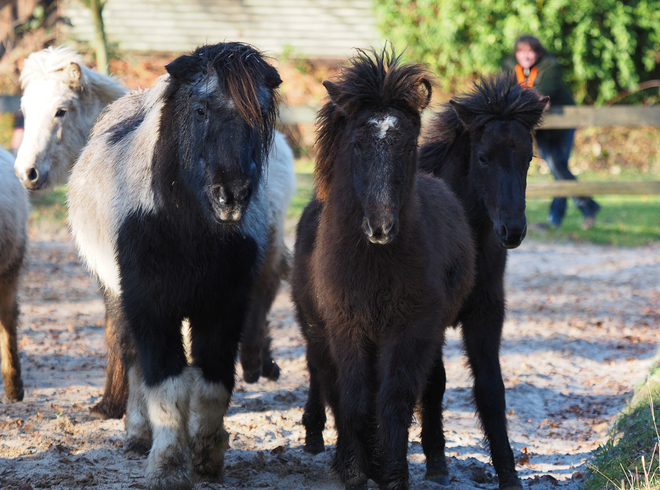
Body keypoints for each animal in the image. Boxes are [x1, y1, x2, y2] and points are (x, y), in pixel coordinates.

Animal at [68, 42, 290, 490]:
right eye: (201, 110)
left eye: (260, 113)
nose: (231, 196)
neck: (186, 227)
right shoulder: (150, 306)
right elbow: (165, 381)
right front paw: (168, 464)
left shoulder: (223, 307)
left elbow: (212, 382)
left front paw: (206, 456)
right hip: (116, 295)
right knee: (132, 355)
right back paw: (138, 436)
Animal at [292, 48, 474, 490]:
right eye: (357, 143)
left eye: (408, 146)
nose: (381, 227)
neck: (373, 267)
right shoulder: (347, 328)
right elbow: (354, 399)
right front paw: (356, 471)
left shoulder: (409, 330)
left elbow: (394, 400)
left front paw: (392, 473)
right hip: (317, 332)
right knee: (326, 380)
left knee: (430, 386)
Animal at [420, 74, 548, 488]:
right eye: (482, 157)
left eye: (527, 158)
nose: (513, 230)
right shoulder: (429, 319)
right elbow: (434, 382)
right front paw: (436, 461)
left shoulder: (487, 314)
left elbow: (491, 388)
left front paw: (508, 472)